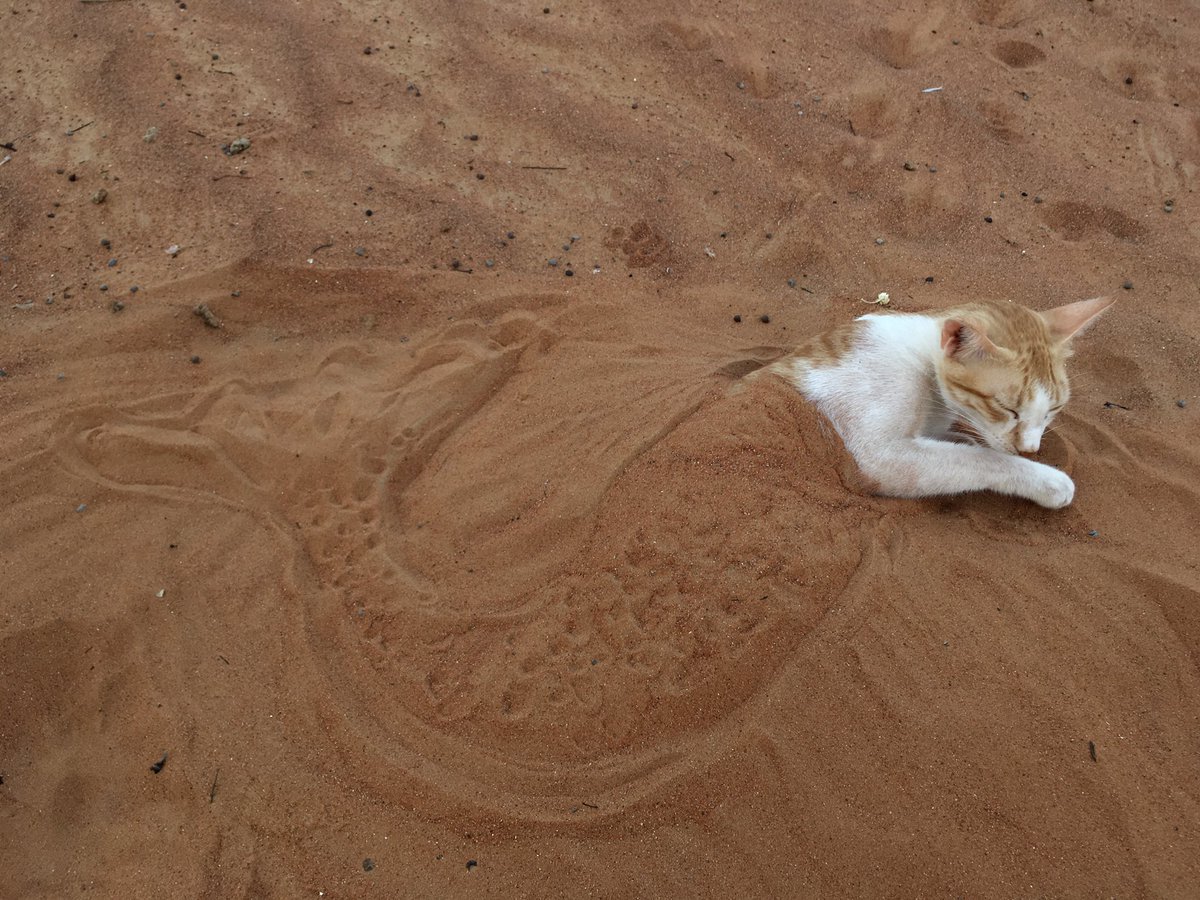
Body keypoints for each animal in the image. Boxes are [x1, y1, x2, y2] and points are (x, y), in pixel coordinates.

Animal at [758, 296, 1113, 508]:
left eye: (1054, 409)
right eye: (1007, 408)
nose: (1030, 450)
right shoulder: (878, 458)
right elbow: (982, 459)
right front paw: (1048, 481)